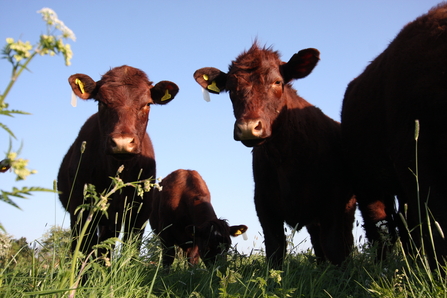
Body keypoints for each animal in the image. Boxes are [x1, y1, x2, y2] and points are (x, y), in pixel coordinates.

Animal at [57, 65, 179, 256]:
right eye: (101, 102)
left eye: (147, 104)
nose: (122, 142)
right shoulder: (80, 206)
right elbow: (83, 246)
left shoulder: (139, 212)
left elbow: (130, 249)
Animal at [194, 42, 356, 268]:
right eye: (231, 89)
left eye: (277, 82)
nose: (248, 127)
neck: (285, 157)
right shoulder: (264, 202)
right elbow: (275, 249)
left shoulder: (333, 199)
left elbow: (335, 246)